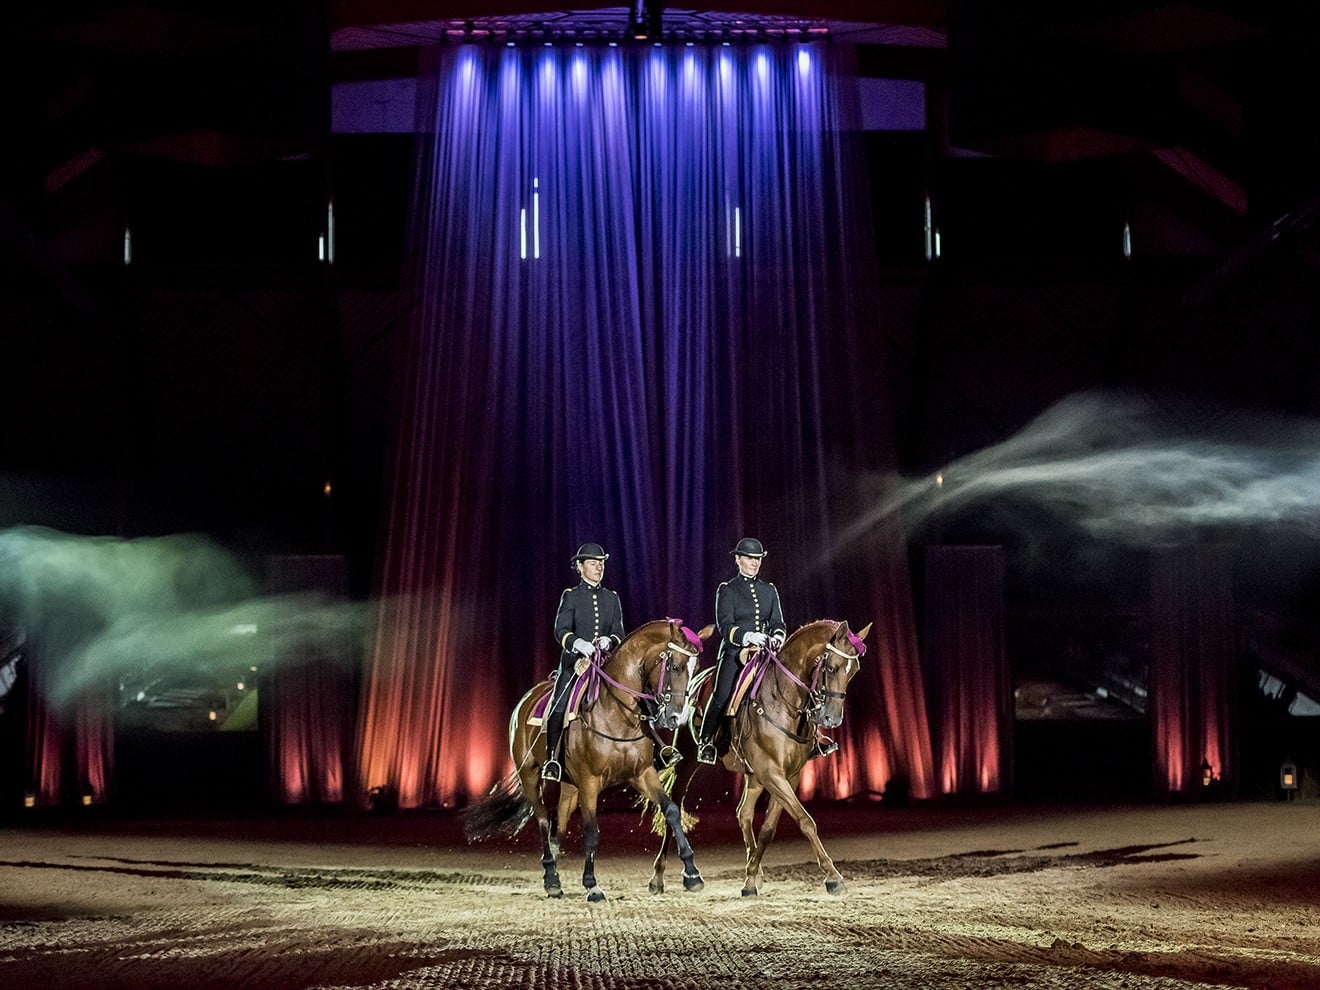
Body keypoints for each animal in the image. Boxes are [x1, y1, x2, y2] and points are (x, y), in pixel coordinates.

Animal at [464, 623, 712, 902]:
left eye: (695, 668)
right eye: (675, 666)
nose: (677, 718)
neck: (616, 712)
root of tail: (526, 700)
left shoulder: (642, 774)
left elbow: (671, 811)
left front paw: (692, 873)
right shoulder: (590, 782)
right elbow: (591, 831)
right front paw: (592, 885)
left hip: (570, 787)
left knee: (556, 826)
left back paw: (553, 878)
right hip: (530, 776)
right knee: (542, 820)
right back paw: (551, 876)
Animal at [646, 620, 871, 897]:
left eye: (853, 671)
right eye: (832, 667)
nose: (832, 719)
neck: (784, 700)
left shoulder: (788, 776)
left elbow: (769, 828)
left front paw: (751, 877)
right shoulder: (771, 773)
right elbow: (805, 820)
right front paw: (833, 877)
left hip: (752, 773)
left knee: (743, 813)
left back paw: (755, 869)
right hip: (689, 762)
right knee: (673, 809)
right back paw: (663, 876)